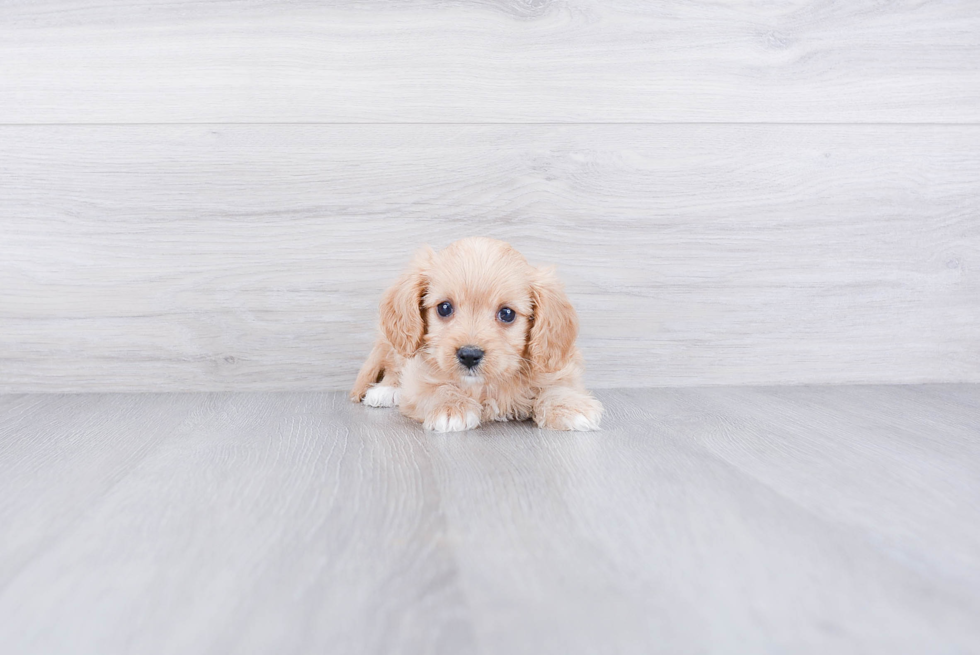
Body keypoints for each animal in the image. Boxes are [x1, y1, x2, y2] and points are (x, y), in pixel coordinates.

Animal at [348, 238, 600, 434]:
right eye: (444, 308)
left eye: (507, 313)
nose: (469, 355)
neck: (486, 384)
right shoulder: (418, 381)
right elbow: (438, 387)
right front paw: (450, 408)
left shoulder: (561, 370)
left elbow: (557, 386)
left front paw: (571, 407)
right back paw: (385, 391)